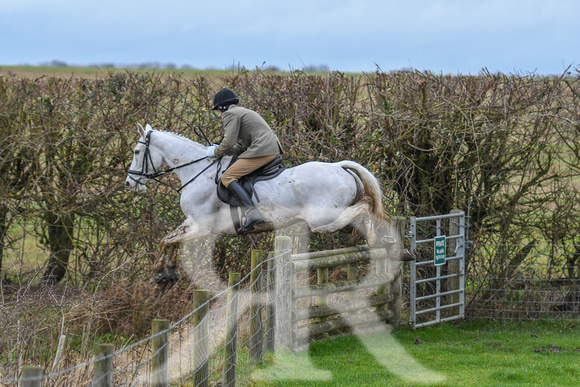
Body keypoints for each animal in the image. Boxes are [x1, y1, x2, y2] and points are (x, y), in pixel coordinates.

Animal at [124, 124, 410, 288]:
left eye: (137, 152)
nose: (129, 184)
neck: (196, 171)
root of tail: (339, 166)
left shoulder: (203, 227)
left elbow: (169, 239)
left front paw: (161, 272)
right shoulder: (192, 223)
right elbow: (169, 239)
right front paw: (166, 274)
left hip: (323, 219)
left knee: (365, 207)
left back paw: (381, 240)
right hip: (331, 218)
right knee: (366, 214)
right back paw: (391, 244)